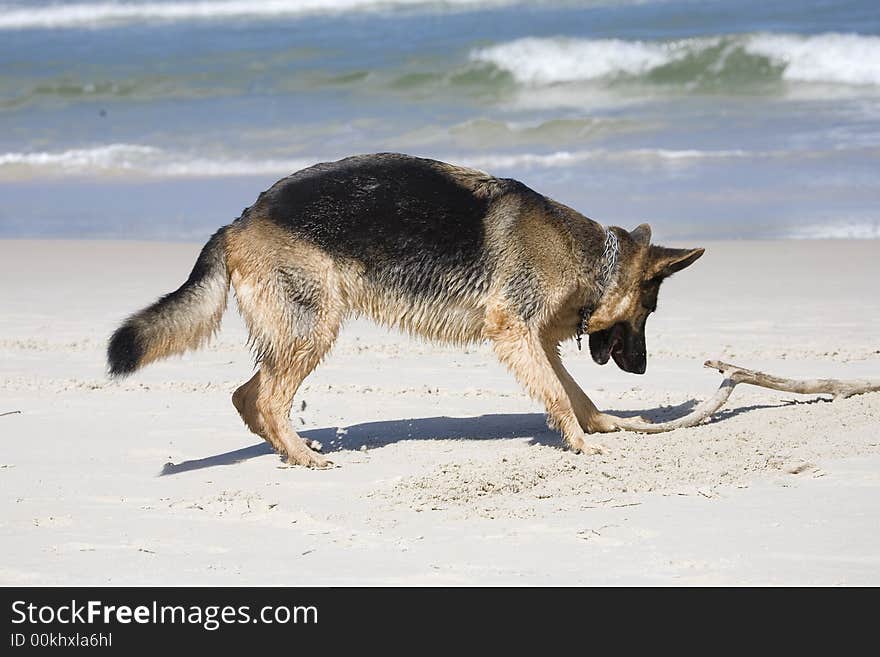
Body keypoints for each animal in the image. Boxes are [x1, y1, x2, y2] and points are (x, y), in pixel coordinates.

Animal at [108, 153, 700, 466]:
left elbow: (578, 397)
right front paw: (580, 444)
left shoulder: (536, 345)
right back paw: (302, 455)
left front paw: (609, 426)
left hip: (297, 334)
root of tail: (240, 220)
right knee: (268, 398)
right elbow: (559, 395)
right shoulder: (517, 335)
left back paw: (287, 448)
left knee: (246, 395)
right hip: (314, 328)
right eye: (648, 310)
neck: (588, 256)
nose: (643, 369)